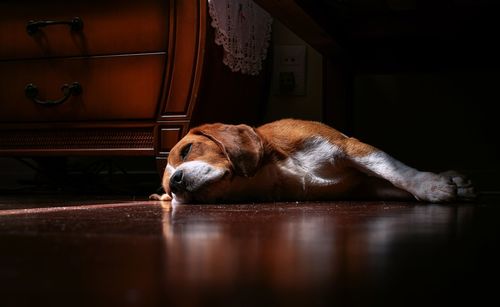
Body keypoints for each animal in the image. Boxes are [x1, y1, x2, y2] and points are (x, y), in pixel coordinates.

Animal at [151, 119, 476, 206]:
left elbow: (397, 173)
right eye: (168, 188)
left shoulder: (351, 147)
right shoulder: (364, 187)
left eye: (186, 150)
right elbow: (394, 185)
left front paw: (430, 185)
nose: (176, 183)